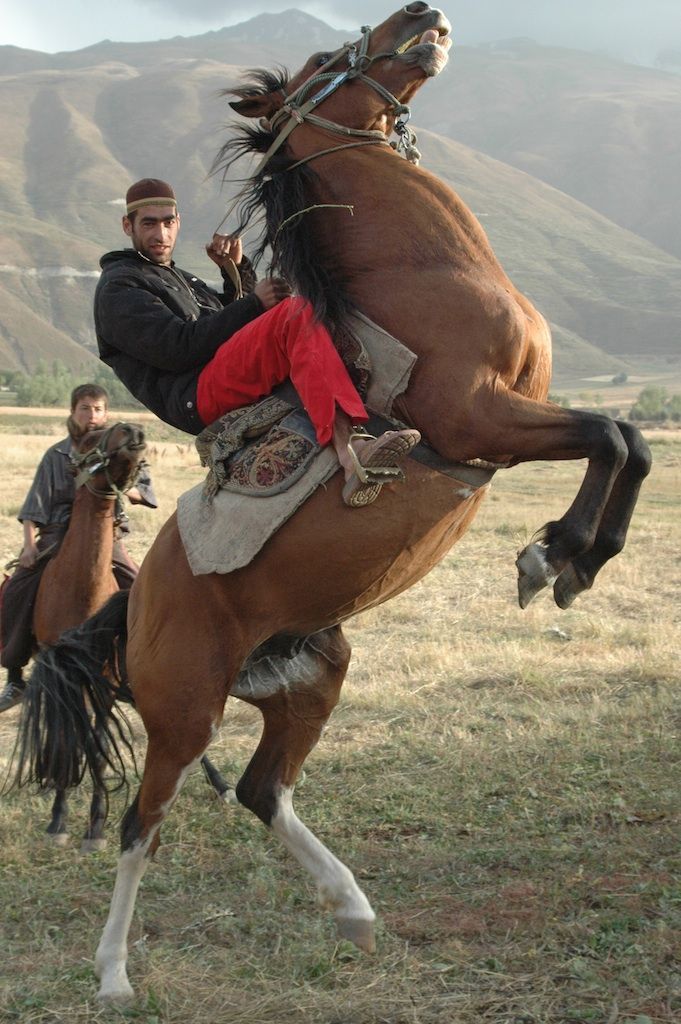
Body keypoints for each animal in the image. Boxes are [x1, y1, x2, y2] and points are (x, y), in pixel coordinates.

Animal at [14, 6, 647, 999]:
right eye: (322, 58)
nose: (420, 17)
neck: (424, 276)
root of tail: (137, 596)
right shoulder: (482, 418)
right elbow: (611, 437)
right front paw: (553, 555)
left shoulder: (515, 416)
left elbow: (629, 438)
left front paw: (576, 558)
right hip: (183, 713)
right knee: (139, 828)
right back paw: (113, 974)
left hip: (310, 677)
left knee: (260, 789)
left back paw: (351, 907)